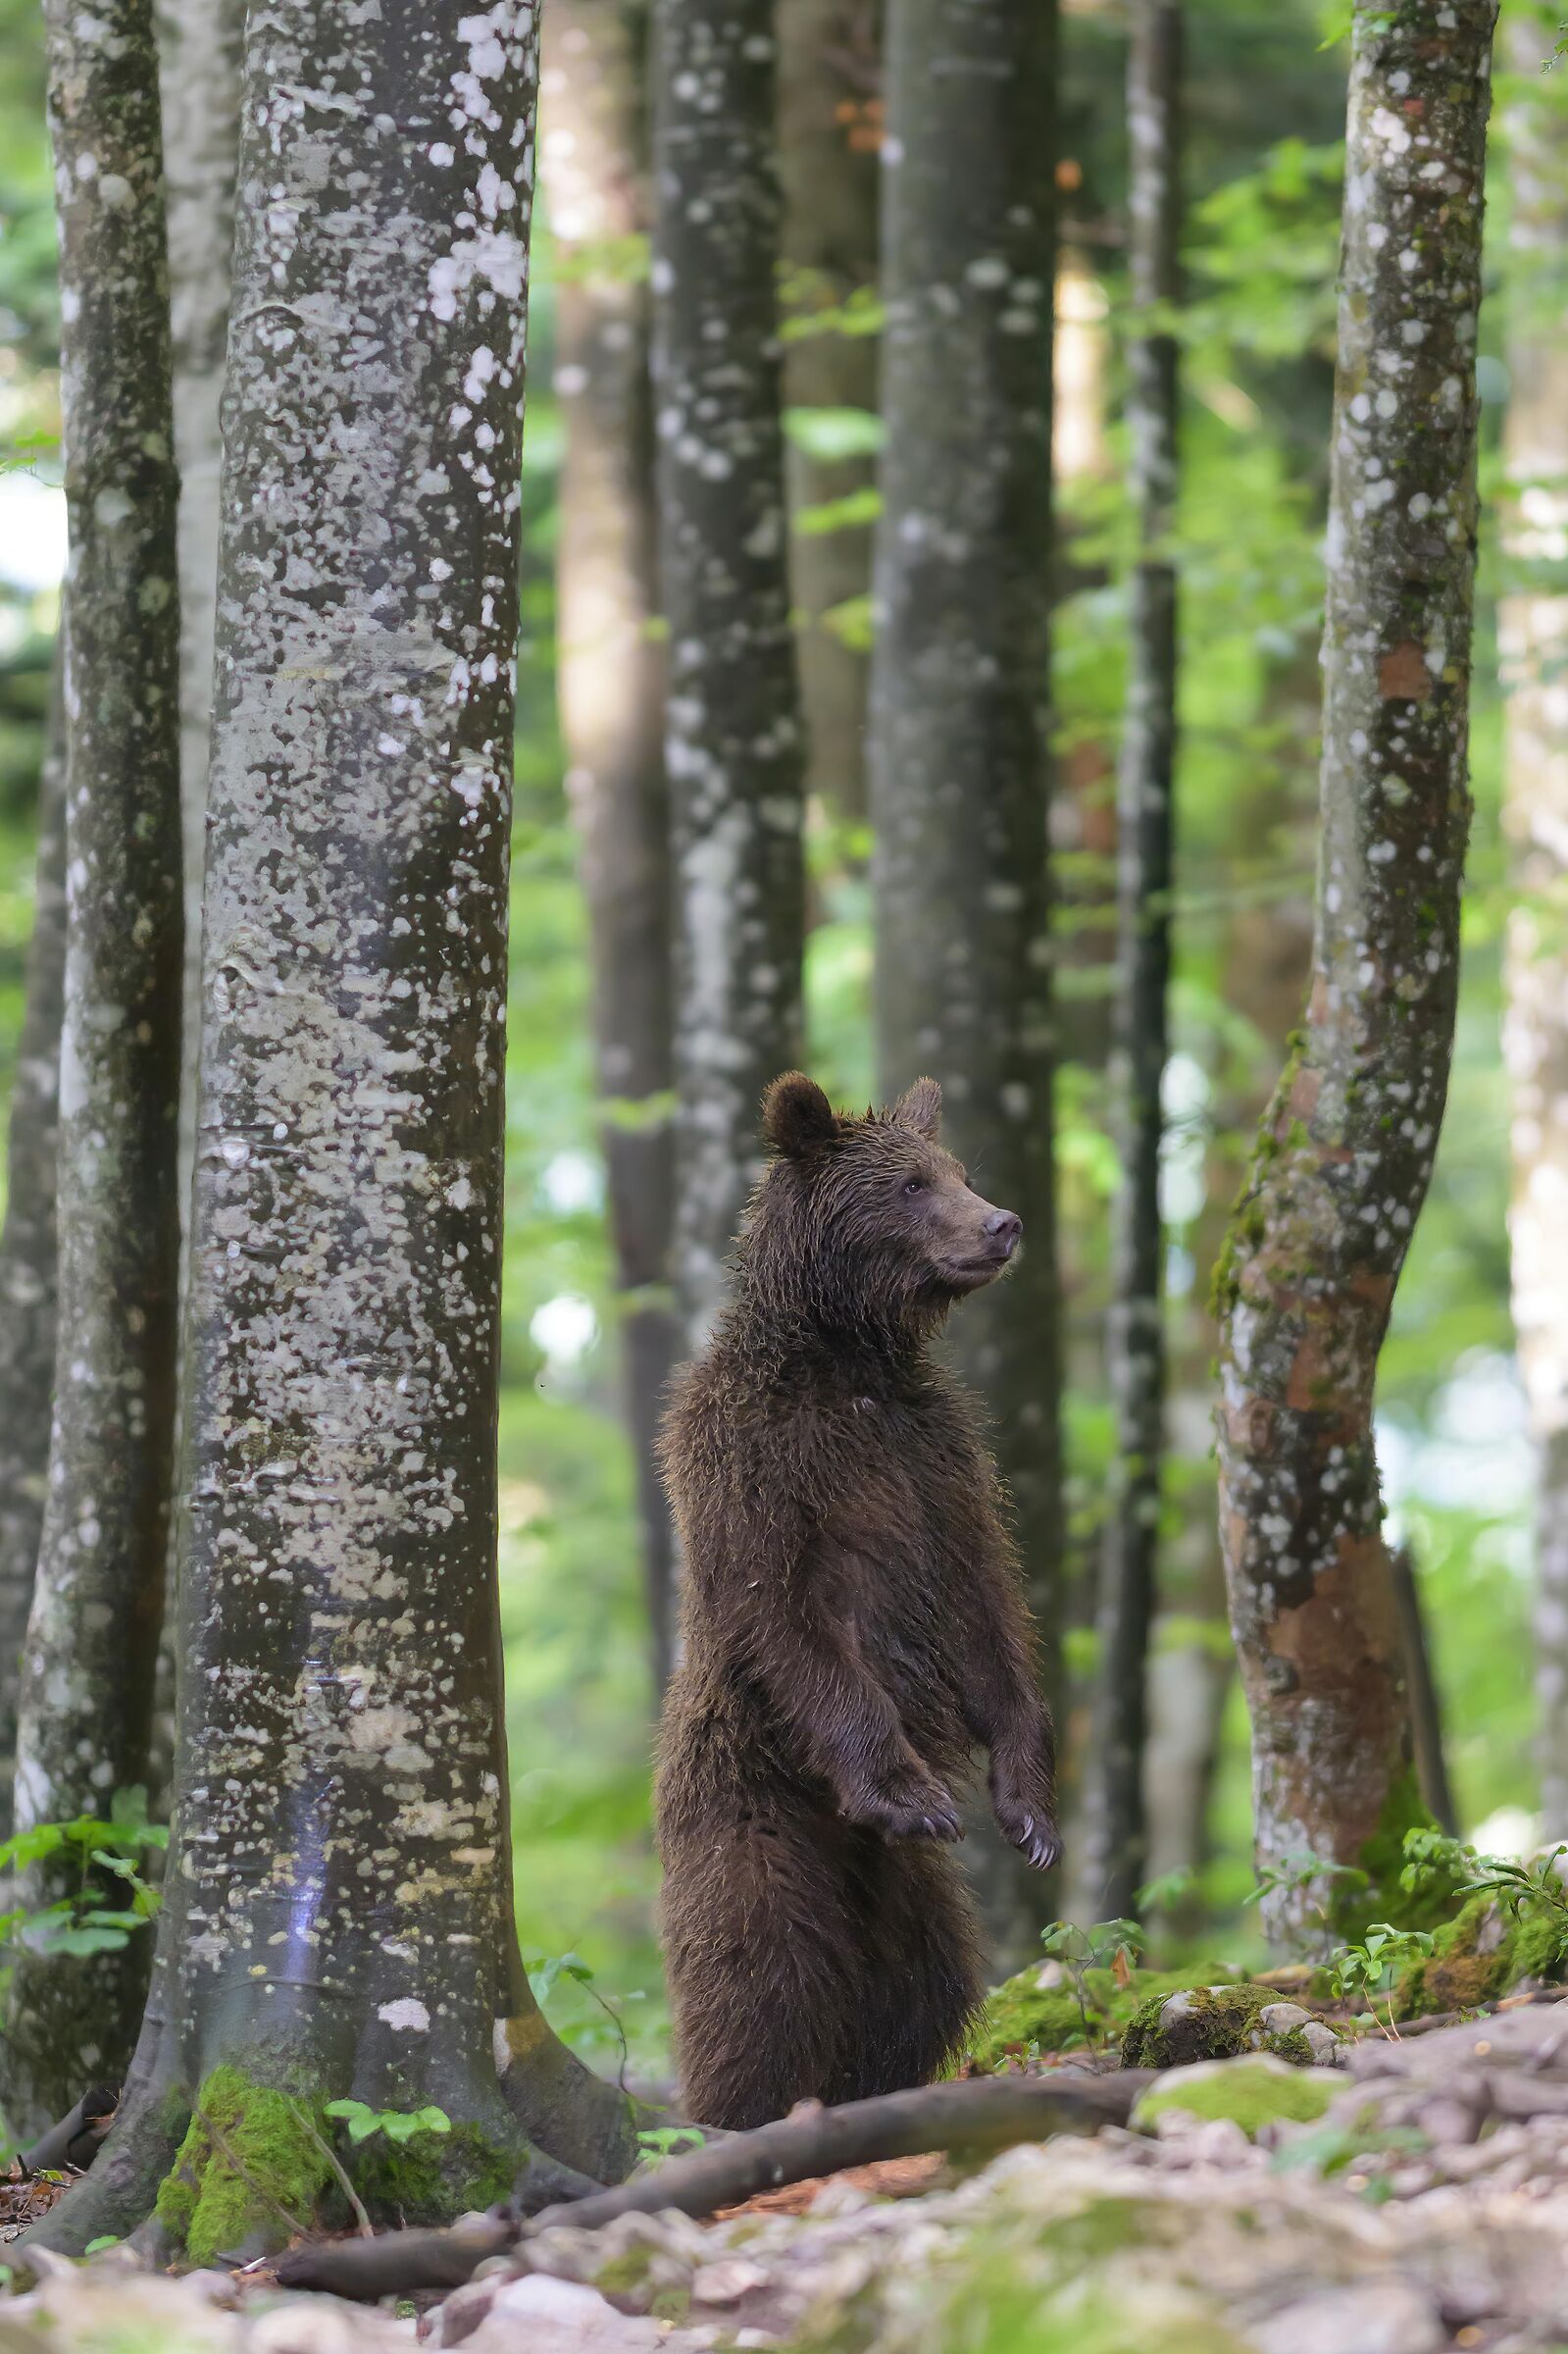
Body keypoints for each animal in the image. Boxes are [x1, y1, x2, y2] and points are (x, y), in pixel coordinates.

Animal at [655, 1071, 1059, 2130]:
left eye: (957, 1170)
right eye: (913, 1185)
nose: (1003, 1223)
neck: (845, 1357)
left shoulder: (936, 1459)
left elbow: (987, 1609)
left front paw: (1029, 1810)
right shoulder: (754, 1460)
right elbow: (787, 1616)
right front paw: (907, 1789)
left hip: (901, 1891)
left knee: (923, 1982)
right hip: (752, 1796)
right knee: (757, 1969)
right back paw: (739, 2111)